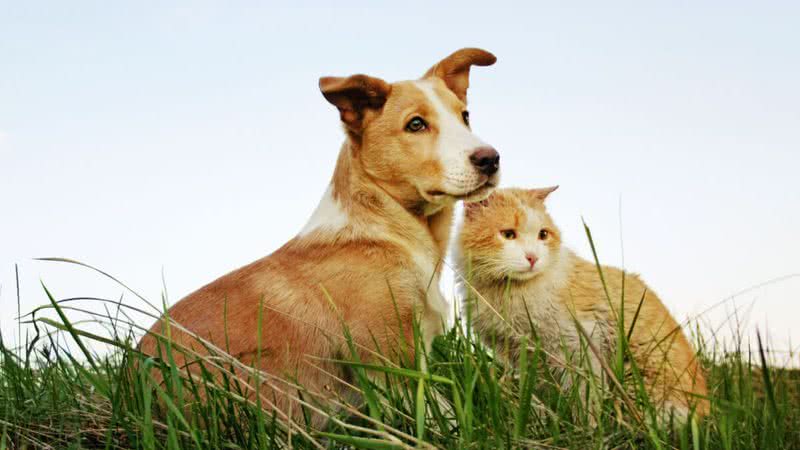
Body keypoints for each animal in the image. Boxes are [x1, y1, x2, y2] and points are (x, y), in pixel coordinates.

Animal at [138, 47, 500, 428]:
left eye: (465, 116)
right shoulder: (392, 364)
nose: (490, 159)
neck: (385, 224)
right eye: (415, 124)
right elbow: (441, 419)